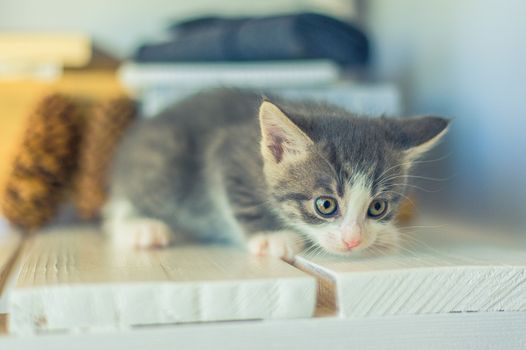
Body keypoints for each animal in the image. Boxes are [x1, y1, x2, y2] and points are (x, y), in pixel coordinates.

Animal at [105, 88, 452, 260]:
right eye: (325, 205)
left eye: (378, 207)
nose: (353, 241)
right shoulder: (228, 150)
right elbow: (244, 200)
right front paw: (272, 237)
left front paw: (383, 235)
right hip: (164, 158)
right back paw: (141, 227)